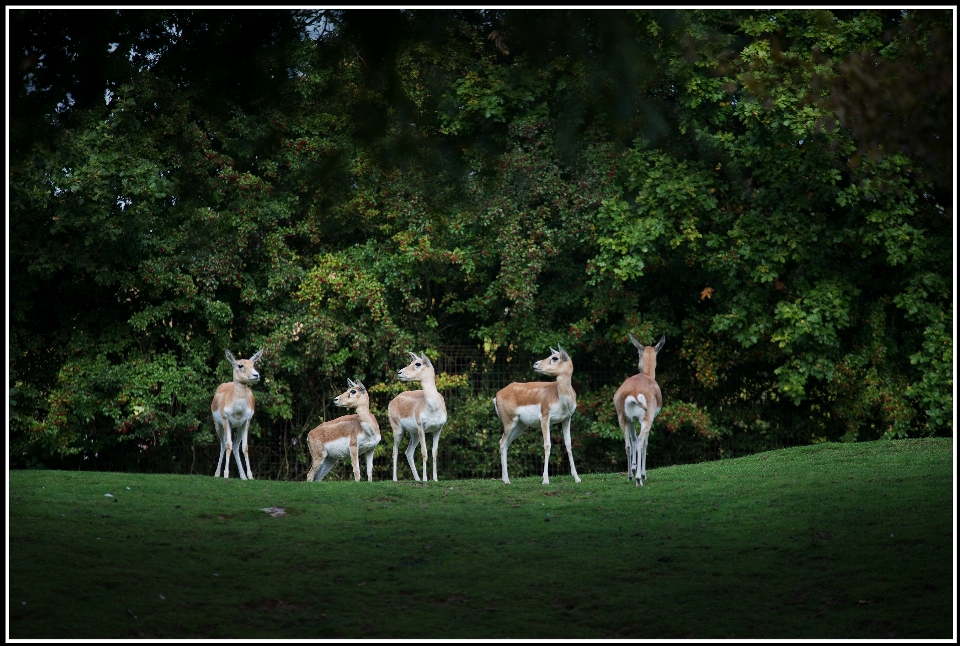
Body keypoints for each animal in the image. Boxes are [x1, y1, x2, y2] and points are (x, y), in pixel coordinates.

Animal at [212, 350, 264, 480]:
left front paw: (250, 476)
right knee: (223, 444)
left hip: (239, 428)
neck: (238, 408)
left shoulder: (246, 422)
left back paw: (243, 476)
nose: (256, 375)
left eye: (253, 364)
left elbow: (245, 447)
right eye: (240, 365)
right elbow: (228, 445)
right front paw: (226, 474)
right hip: (218, 425)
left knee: (236, 446)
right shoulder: (226, 420)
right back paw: (217, 474)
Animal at [388, 352, 448, 484]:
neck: (433, 407)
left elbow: (434, 452)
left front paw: (435, 479)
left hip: (414, 434)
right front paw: (426, 479)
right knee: (395, 451)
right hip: (398, 430)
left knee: (408, 452)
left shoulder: (438, 429)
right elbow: (424, 452)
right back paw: (395, 479)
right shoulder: (422, 427)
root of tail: (394, 400)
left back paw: (417, 478)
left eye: (418, 363)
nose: (399, 372)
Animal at [492, 346, 580, 484]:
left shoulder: (567, 419)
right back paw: (506, 481)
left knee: (505, 444)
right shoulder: (545, 418)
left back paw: (505, 479)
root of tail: (498, 394)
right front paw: (545, 480)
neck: (560, 397)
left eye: (555, 358)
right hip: (509, 423)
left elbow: (569, 445)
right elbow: (547, 445)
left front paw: (577, 478)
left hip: (520, 426)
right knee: (502, 442)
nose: (535, 363)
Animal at [616, 336, 668, 488]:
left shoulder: (632, 420)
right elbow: (645, 442)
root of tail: (632, 393)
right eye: (638, 353)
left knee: (628, 444)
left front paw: (633, 469)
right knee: (640, 441)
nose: (638, 366)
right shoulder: (650, 419)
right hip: (646, 419)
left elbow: (632, 440)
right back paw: (639, 479)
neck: (647, 375)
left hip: (622, 418)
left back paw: (629, 476)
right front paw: (642, 473)